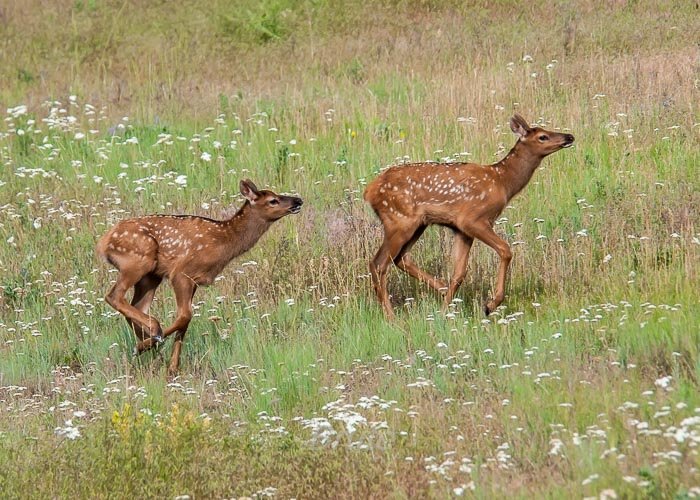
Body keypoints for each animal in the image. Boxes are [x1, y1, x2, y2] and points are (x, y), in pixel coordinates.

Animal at [97, 180, 302, 376]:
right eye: (273, 200)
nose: (298, 200)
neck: (223, 243)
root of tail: (104, 241)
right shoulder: (181, 273)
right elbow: (185, 315)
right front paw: (150, 348)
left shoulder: (194, 280)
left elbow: (185, 320)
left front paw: (172, 367)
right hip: (138, 261)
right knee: (114, 295)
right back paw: (153, 335)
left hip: (151, 276)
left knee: (137, 306)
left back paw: (151, 349)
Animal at [364, 114, 572, 318]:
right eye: (543, 136)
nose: (569, 136)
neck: (503, 182)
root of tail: (370, 190)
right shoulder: (473, 219)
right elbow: (505, 250)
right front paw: (491, 304)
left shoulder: (461, 229)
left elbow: (459, 272)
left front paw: (445, 311)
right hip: (399, 220)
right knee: (378, 263)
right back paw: (391, 317)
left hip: (417, 224)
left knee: (400, 258)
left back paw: (440, 288)